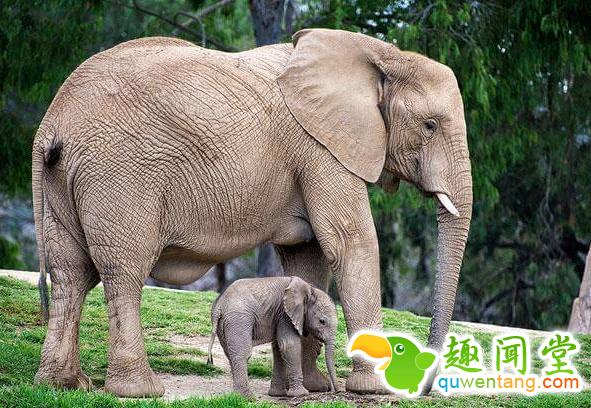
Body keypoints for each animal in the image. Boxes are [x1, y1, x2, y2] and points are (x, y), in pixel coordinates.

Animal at [206, 276, 338, 397]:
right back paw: (247, 398)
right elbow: (289, 345)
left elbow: (279, 348)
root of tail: (219, 307)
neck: (310, 289)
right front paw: (301, 394)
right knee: (242, 353)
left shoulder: (278, 316)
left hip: (223, 324)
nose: (337, 391)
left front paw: (277, 394)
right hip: (238, 320)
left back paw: (237, 396)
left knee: (229, 354)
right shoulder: (285, 315)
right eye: (322, 321)